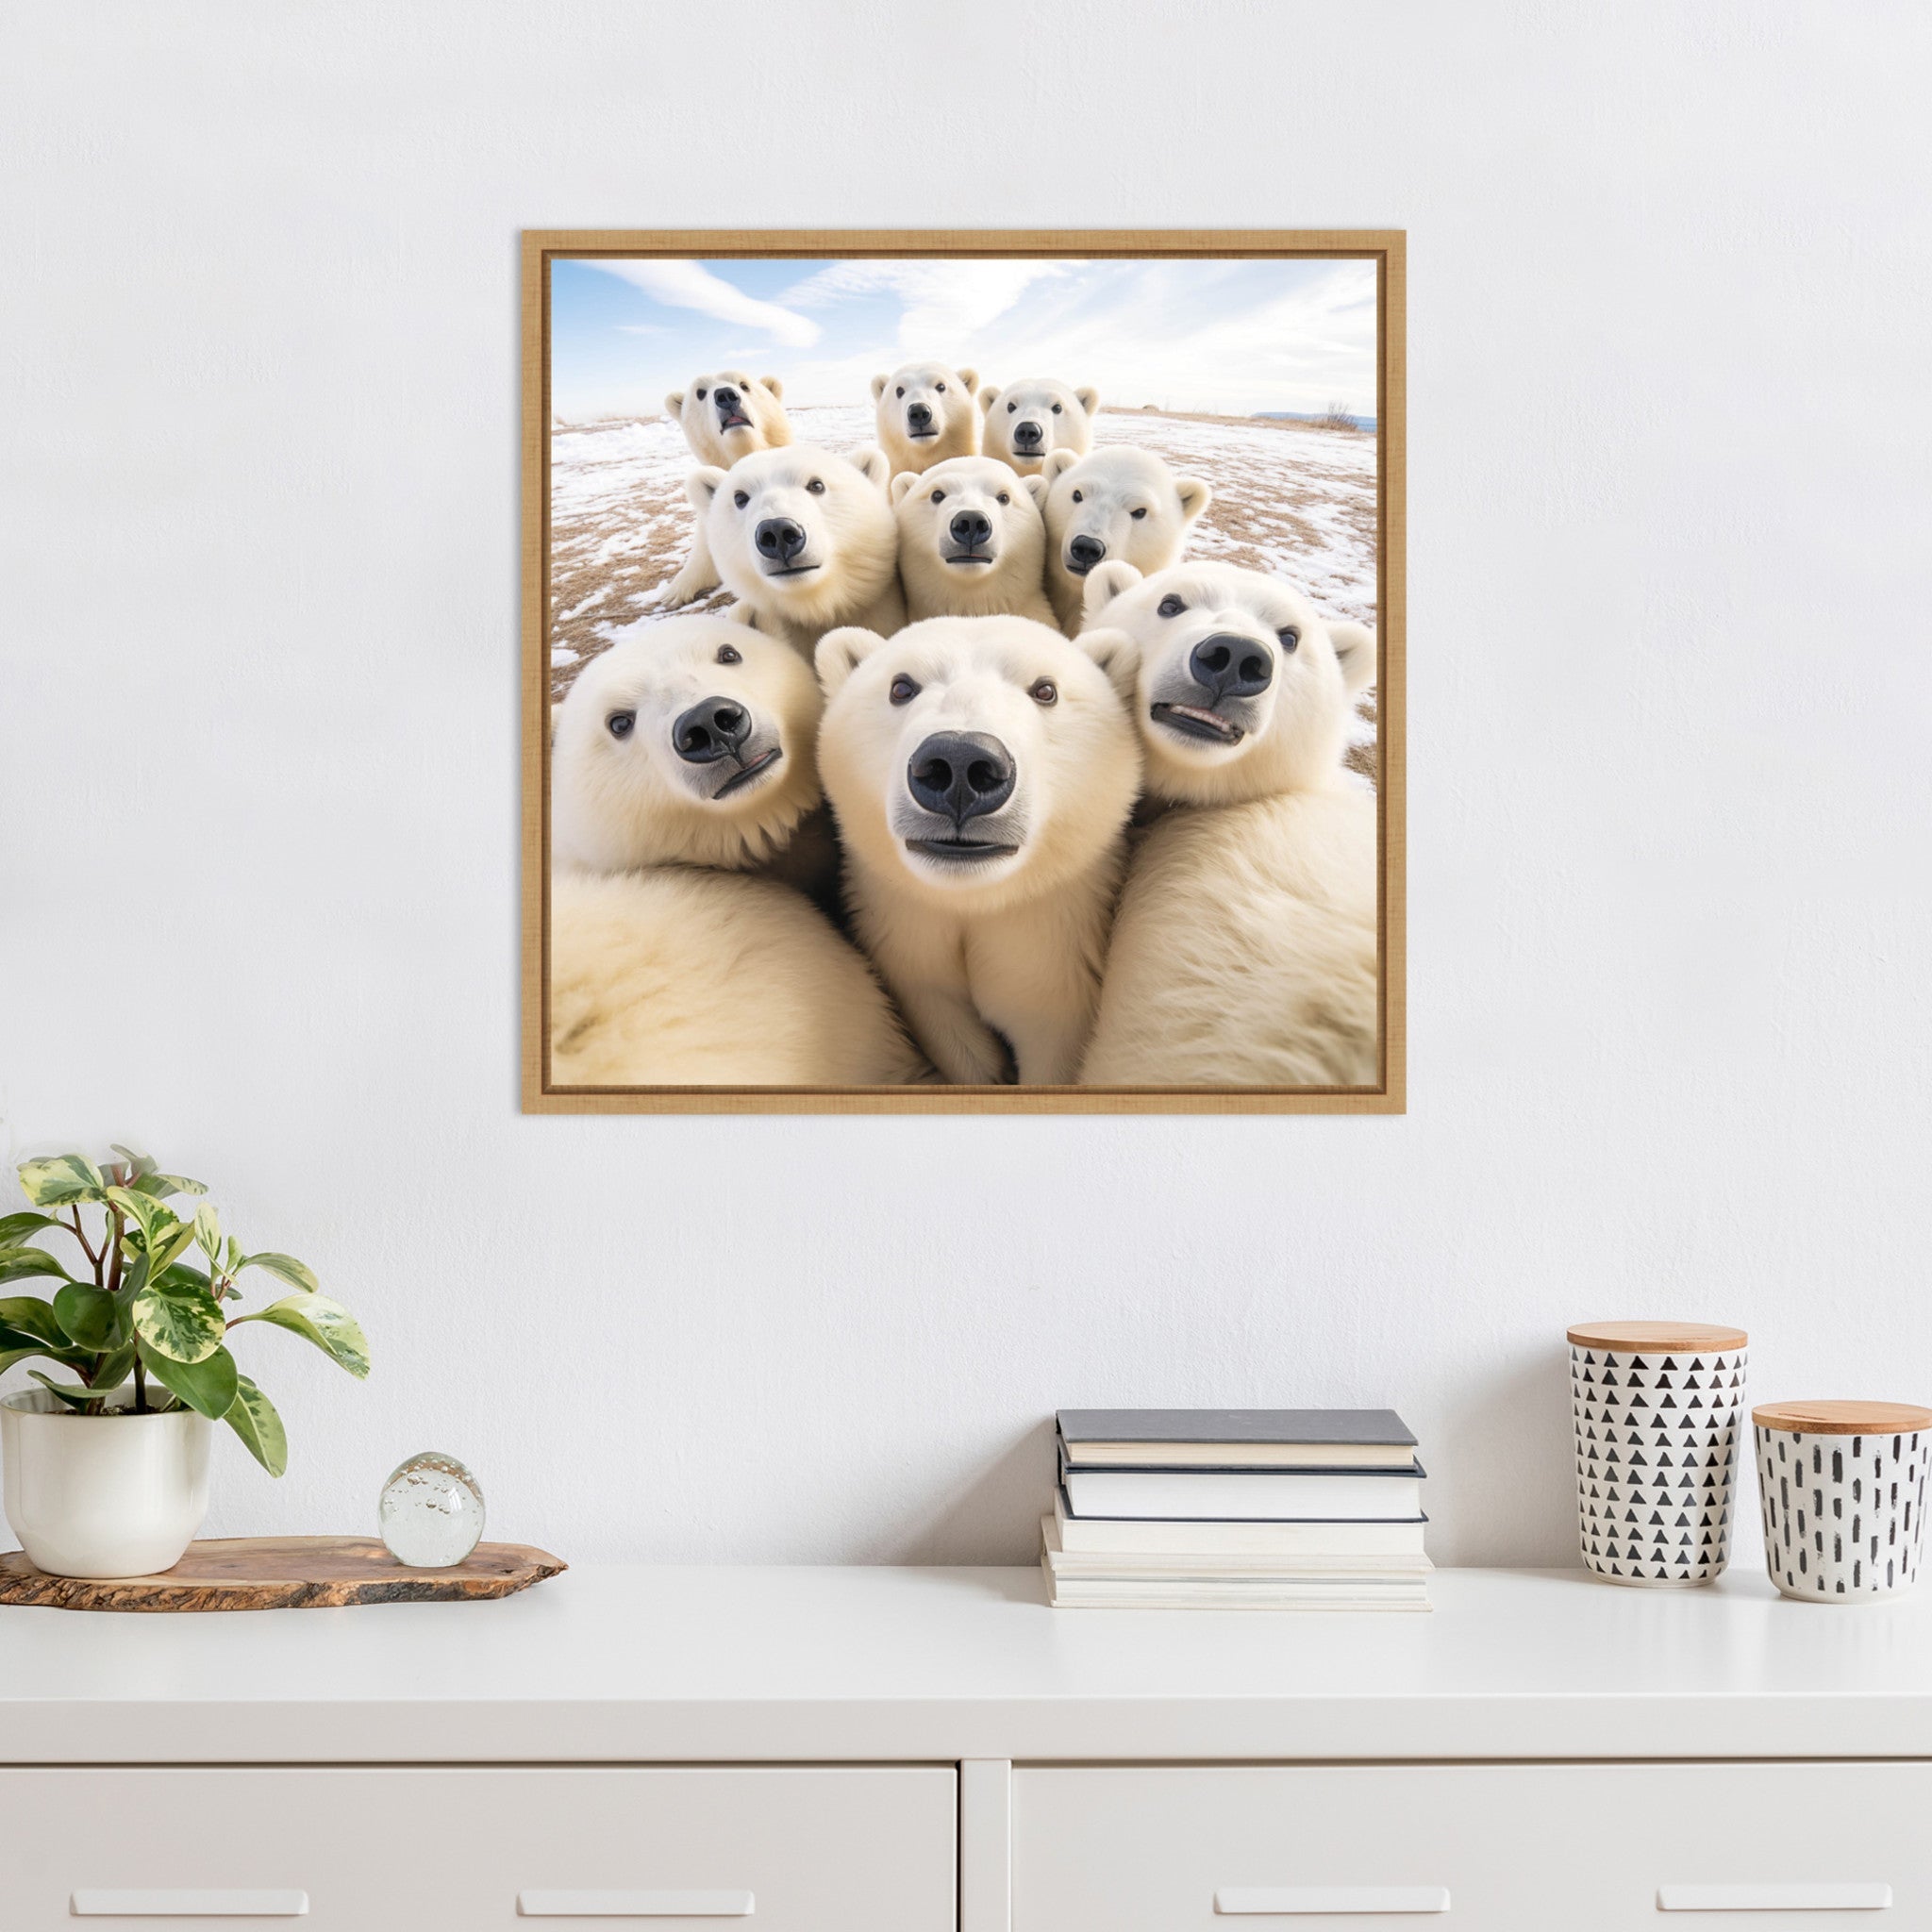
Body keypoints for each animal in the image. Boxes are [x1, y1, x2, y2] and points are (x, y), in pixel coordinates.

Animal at [815, 613, 1141, 1086]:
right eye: (901, 687)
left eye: (1046, 690)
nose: (960, 763)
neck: (975, 900)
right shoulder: (907, 933)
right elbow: (951, 1029)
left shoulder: (1053, 939)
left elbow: (1050, 1032)